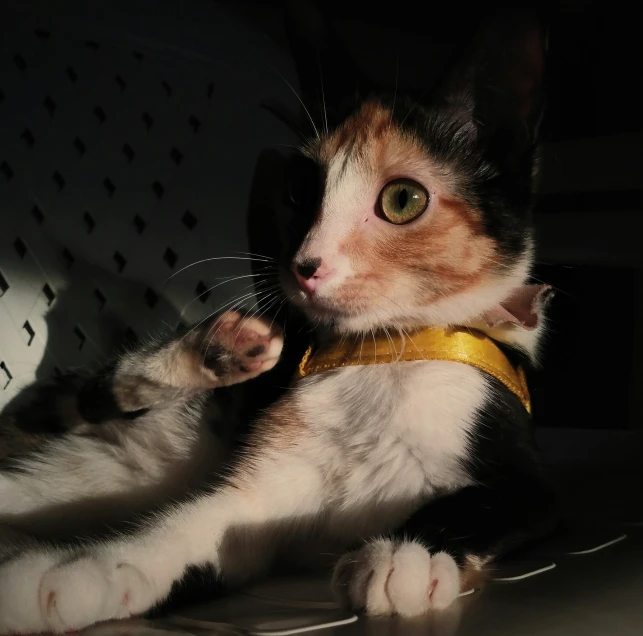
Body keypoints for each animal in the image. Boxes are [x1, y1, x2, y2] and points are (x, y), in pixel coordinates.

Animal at [0, 7, 560, 632]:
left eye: (403, 199)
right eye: (298, 190)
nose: (304, 266)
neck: (378, 356)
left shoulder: (528, 472)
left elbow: (485, 501)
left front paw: (405, 554)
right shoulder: (265, 482)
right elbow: (184, 529)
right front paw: (80, 570)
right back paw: (215, 349)